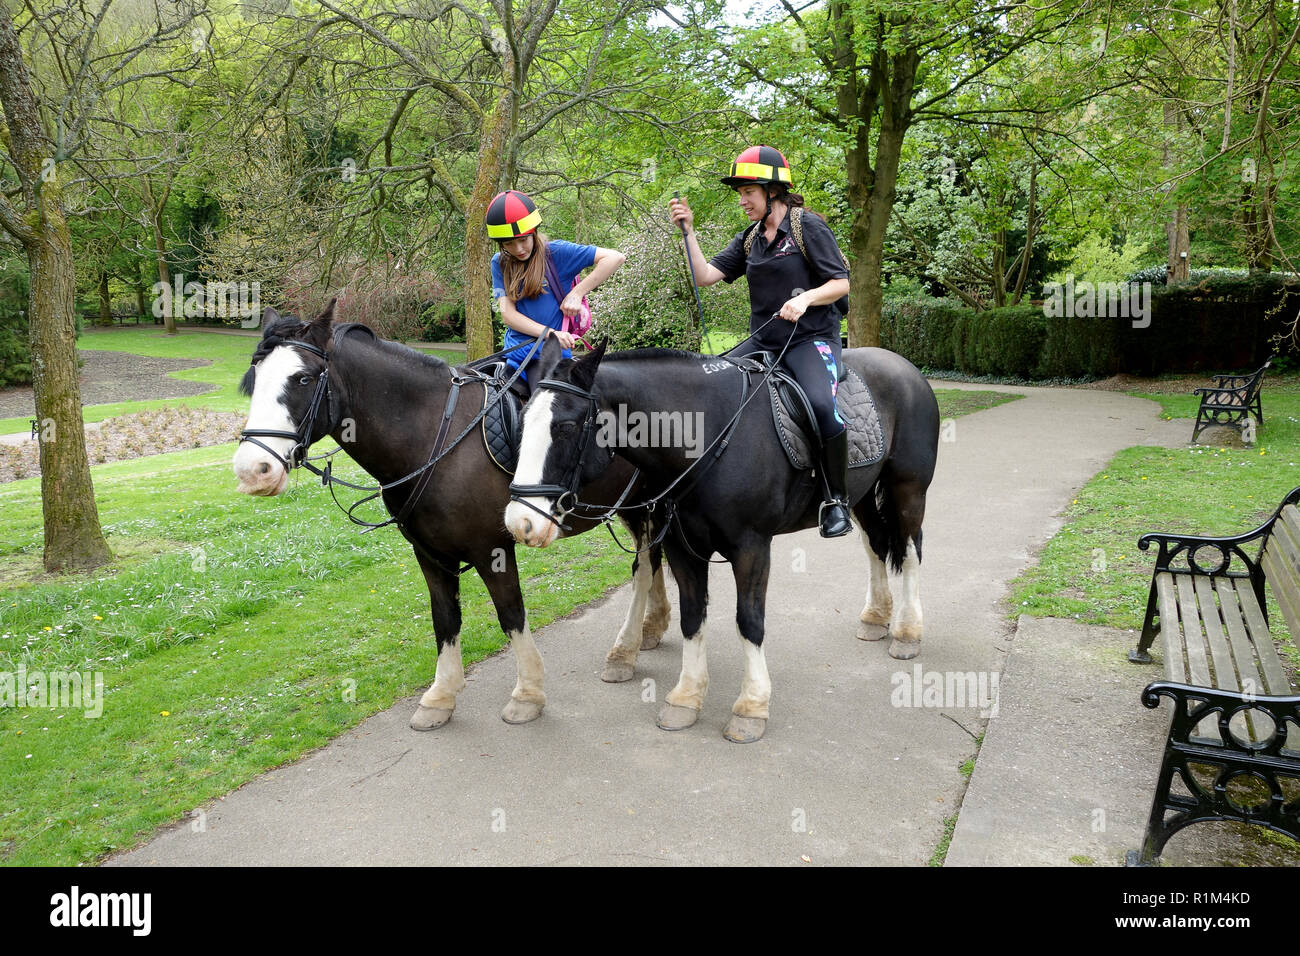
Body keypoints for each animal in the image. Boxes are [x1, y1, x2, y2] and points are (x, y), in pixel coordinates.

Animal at [230, 306, 670, 733]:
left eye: (302, 378)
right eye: (254, 380)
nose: (252, 469)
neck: (434, 439)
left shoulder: (491, 549)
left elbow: (511, 613)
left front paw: (527, 694)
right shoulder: (429, 553)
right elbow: (444, 618)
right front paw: (440, 697)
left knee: (644, 567)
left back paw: (625, 650)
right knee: (653, 560)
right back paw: (652, 627)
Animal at [501, 338, 941, 749]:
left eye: (566, 427)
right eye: (522, 421)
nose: (520, 522)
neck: (706, 435)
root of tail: (905, 367)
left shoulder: (752, 548)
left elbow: (749, 621)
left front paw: (751, 707)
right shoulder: (681, 547)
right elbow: (692, 617)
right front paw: (685, 698)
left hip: (907, 490)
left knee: (910, 552)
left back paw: (907, 632)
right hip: (861, 495)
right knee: (876, 546)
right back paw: (876, 617)